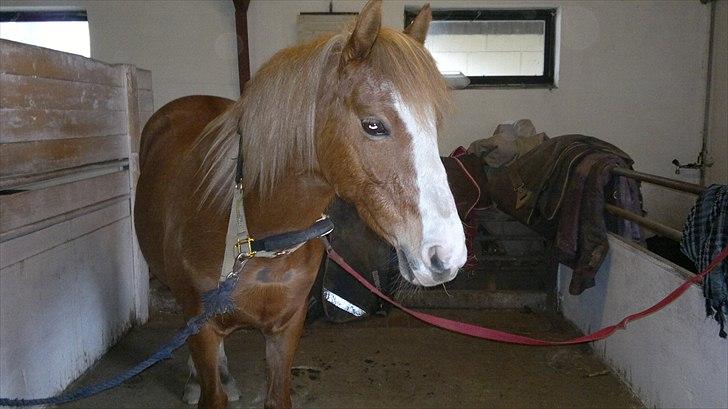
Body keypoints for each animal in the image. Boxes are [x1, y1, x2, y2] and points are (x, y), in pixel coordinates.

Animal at [133, 1, 466, 408]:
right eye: (373, 125)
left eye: (433, 123)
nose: (447, 254)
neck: (253, 231)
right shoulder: (203, 328)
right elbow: (212, 388)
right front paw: (205, 380)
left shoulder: (286, 328)